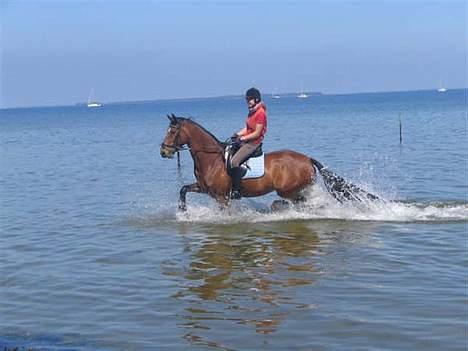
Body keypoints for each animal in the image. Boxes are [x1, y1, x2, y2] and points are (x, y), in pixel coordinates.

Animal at [159, 114, 378, 210]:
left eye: (172, 131)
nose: (163, 151)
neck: (211, 159)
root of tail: (307, 158)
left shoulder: (222, 197)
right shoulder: (205, 189)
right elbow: (183, 190)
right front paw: (183, 211)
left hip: (288, 189)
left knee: (299, 202)